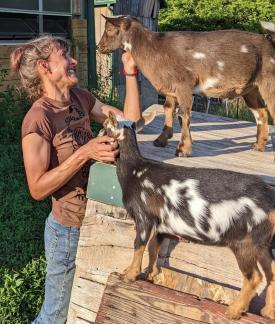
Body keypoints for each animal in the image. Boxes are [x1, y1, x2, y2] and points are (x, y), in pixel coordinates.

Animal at [97, 15, 275, 158]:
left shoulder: (184, 84)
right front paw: (161, 140)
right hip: (251, 88)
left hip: (269, 80)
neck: (154, 49)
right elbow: (168, 109)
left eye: (109, 29)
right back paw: (258, 146)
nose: (99, 47)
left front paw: (183, 150)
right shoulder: (171, 88)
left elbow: (183, 115)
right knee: (261, 113)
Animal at [102, 112, 275, 322]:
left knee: (254, 277)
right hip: (263, 243)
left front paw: (129, 275)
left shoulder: (144, 216)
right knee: (272, 272)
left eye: (106, 126)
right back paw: (267, 312)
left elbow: (139, 245)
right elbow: (153, 247)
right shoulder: (163, 226)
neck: (135, 170)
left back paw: (234, 311)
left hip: (245, 243)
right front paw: (151, 274)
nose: (99, 132)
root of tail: (271, 201)